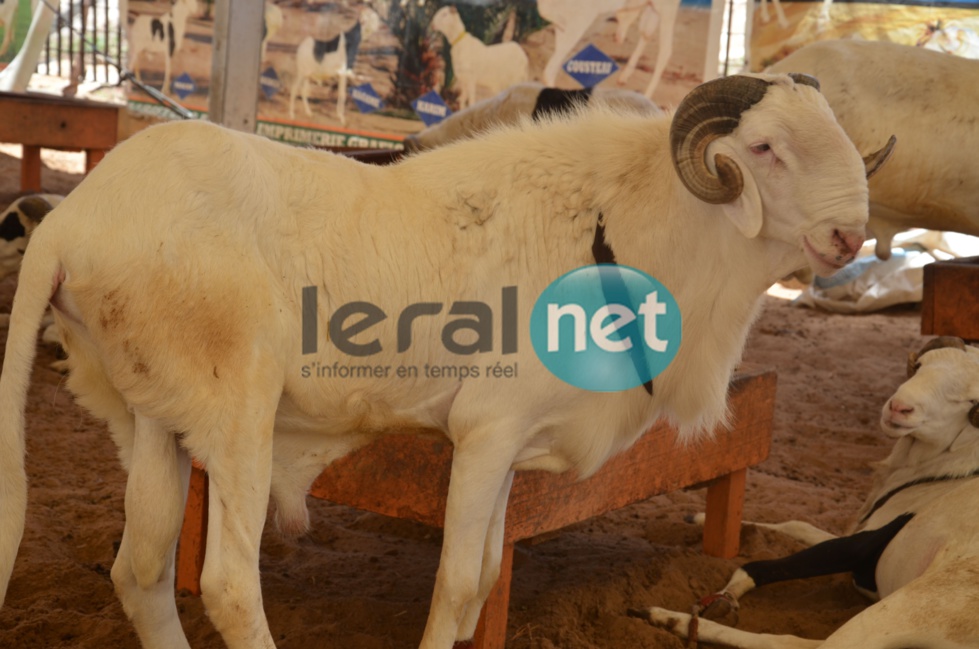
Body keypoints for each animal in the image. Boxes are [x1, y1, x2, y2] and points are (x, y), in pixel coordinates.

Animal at [636, 336, 979, 648]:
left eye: (968, 402)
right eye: (919, 366)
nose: (898, 407)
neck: (941, 475)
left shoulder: (861, 545)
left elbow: (755, 567)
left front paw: (725, 596)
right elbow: (798, 525)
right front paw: (697, 518)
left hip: (899, 610)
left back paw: (670, 618)